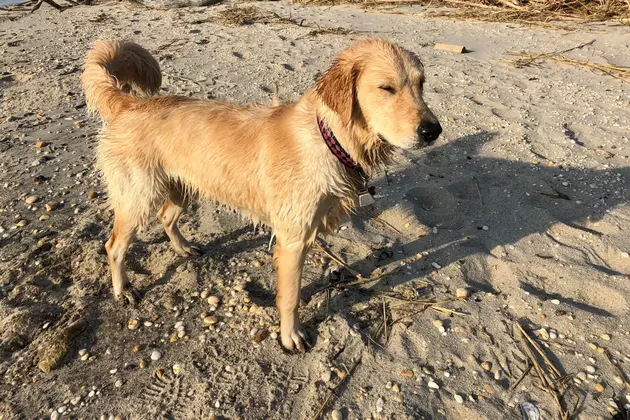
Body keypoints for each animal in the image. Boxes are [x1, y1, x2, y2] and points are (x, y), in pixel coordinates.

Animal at [81, 37, 442, 352]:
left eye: (422, 84)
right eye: (386, 88)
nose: (433, 131)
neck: (330, 140)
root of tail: (131, 103)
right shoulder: (293, 240)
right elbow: (290, 297)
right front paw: (290, 335)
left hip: (183, 188)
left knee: (167, 217)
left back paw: (184, 248)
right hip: (137, 198)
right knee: (114, 246)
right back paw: (123, 290)